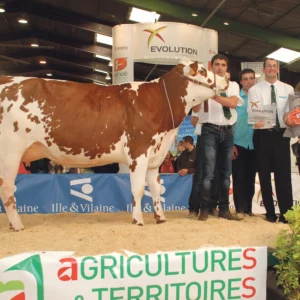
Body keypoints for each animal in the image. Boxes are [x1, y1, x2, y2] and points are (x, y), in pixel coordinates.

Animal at [0, 60, 227, 230]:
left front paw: (161, 218)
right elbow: (138, 189)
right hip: (11, 151)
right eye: (204, 70)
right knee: (8, 188)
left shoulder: (155, 156)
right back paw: (17, 225)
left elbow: (155, 188)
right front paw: (138, 220)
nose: (226, 78)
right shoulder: (138, 151)